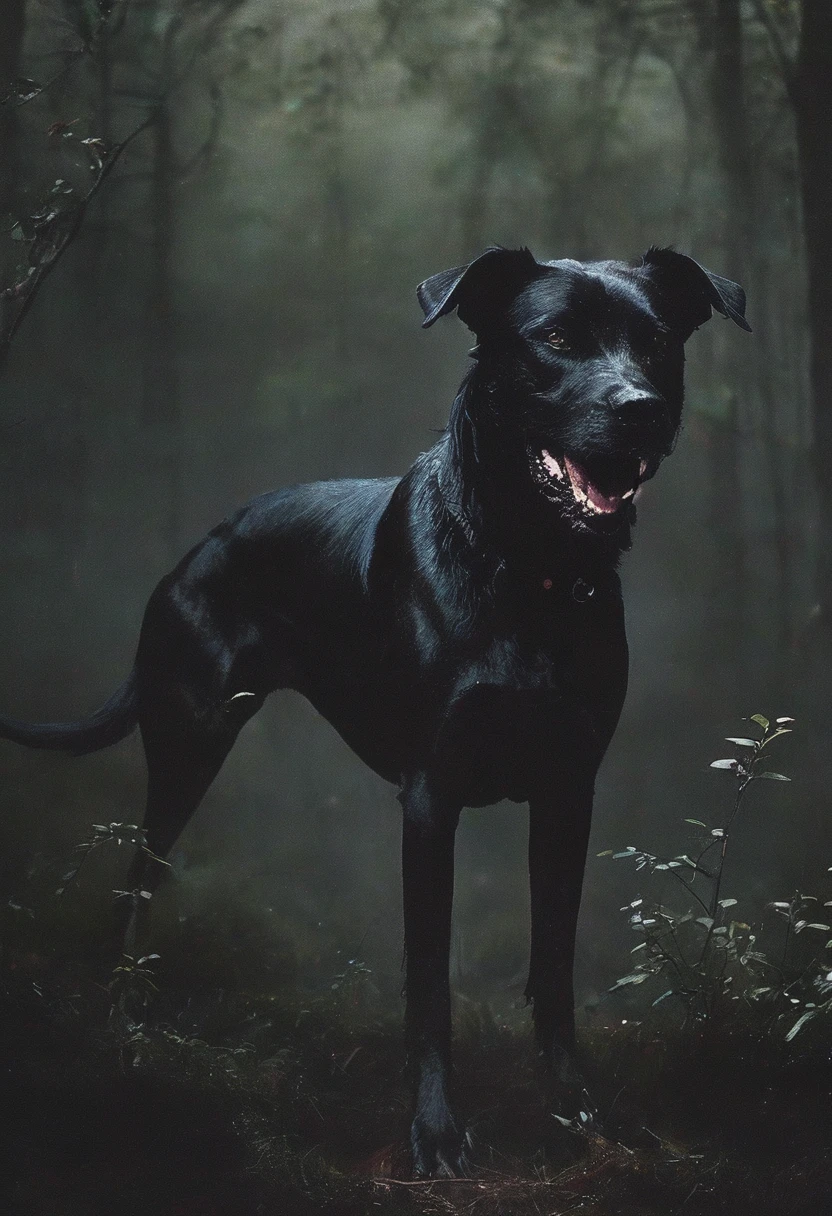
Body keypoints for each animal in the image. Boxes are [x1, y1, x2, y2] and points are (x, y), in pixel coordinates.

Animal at [0, 244, 749, 1167]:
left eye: (655, 344)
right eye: (557, 339)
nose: (640, 410)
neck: (525, 567)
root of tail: (195, 551)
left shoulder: (568, 791)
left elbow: (555, 961)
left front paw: (574, 1106)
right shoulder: (429, 800)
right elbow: (429, 982)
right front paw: (434, 1130)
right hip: (187, 748)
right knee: (135, 885)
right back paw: (120, 1017)